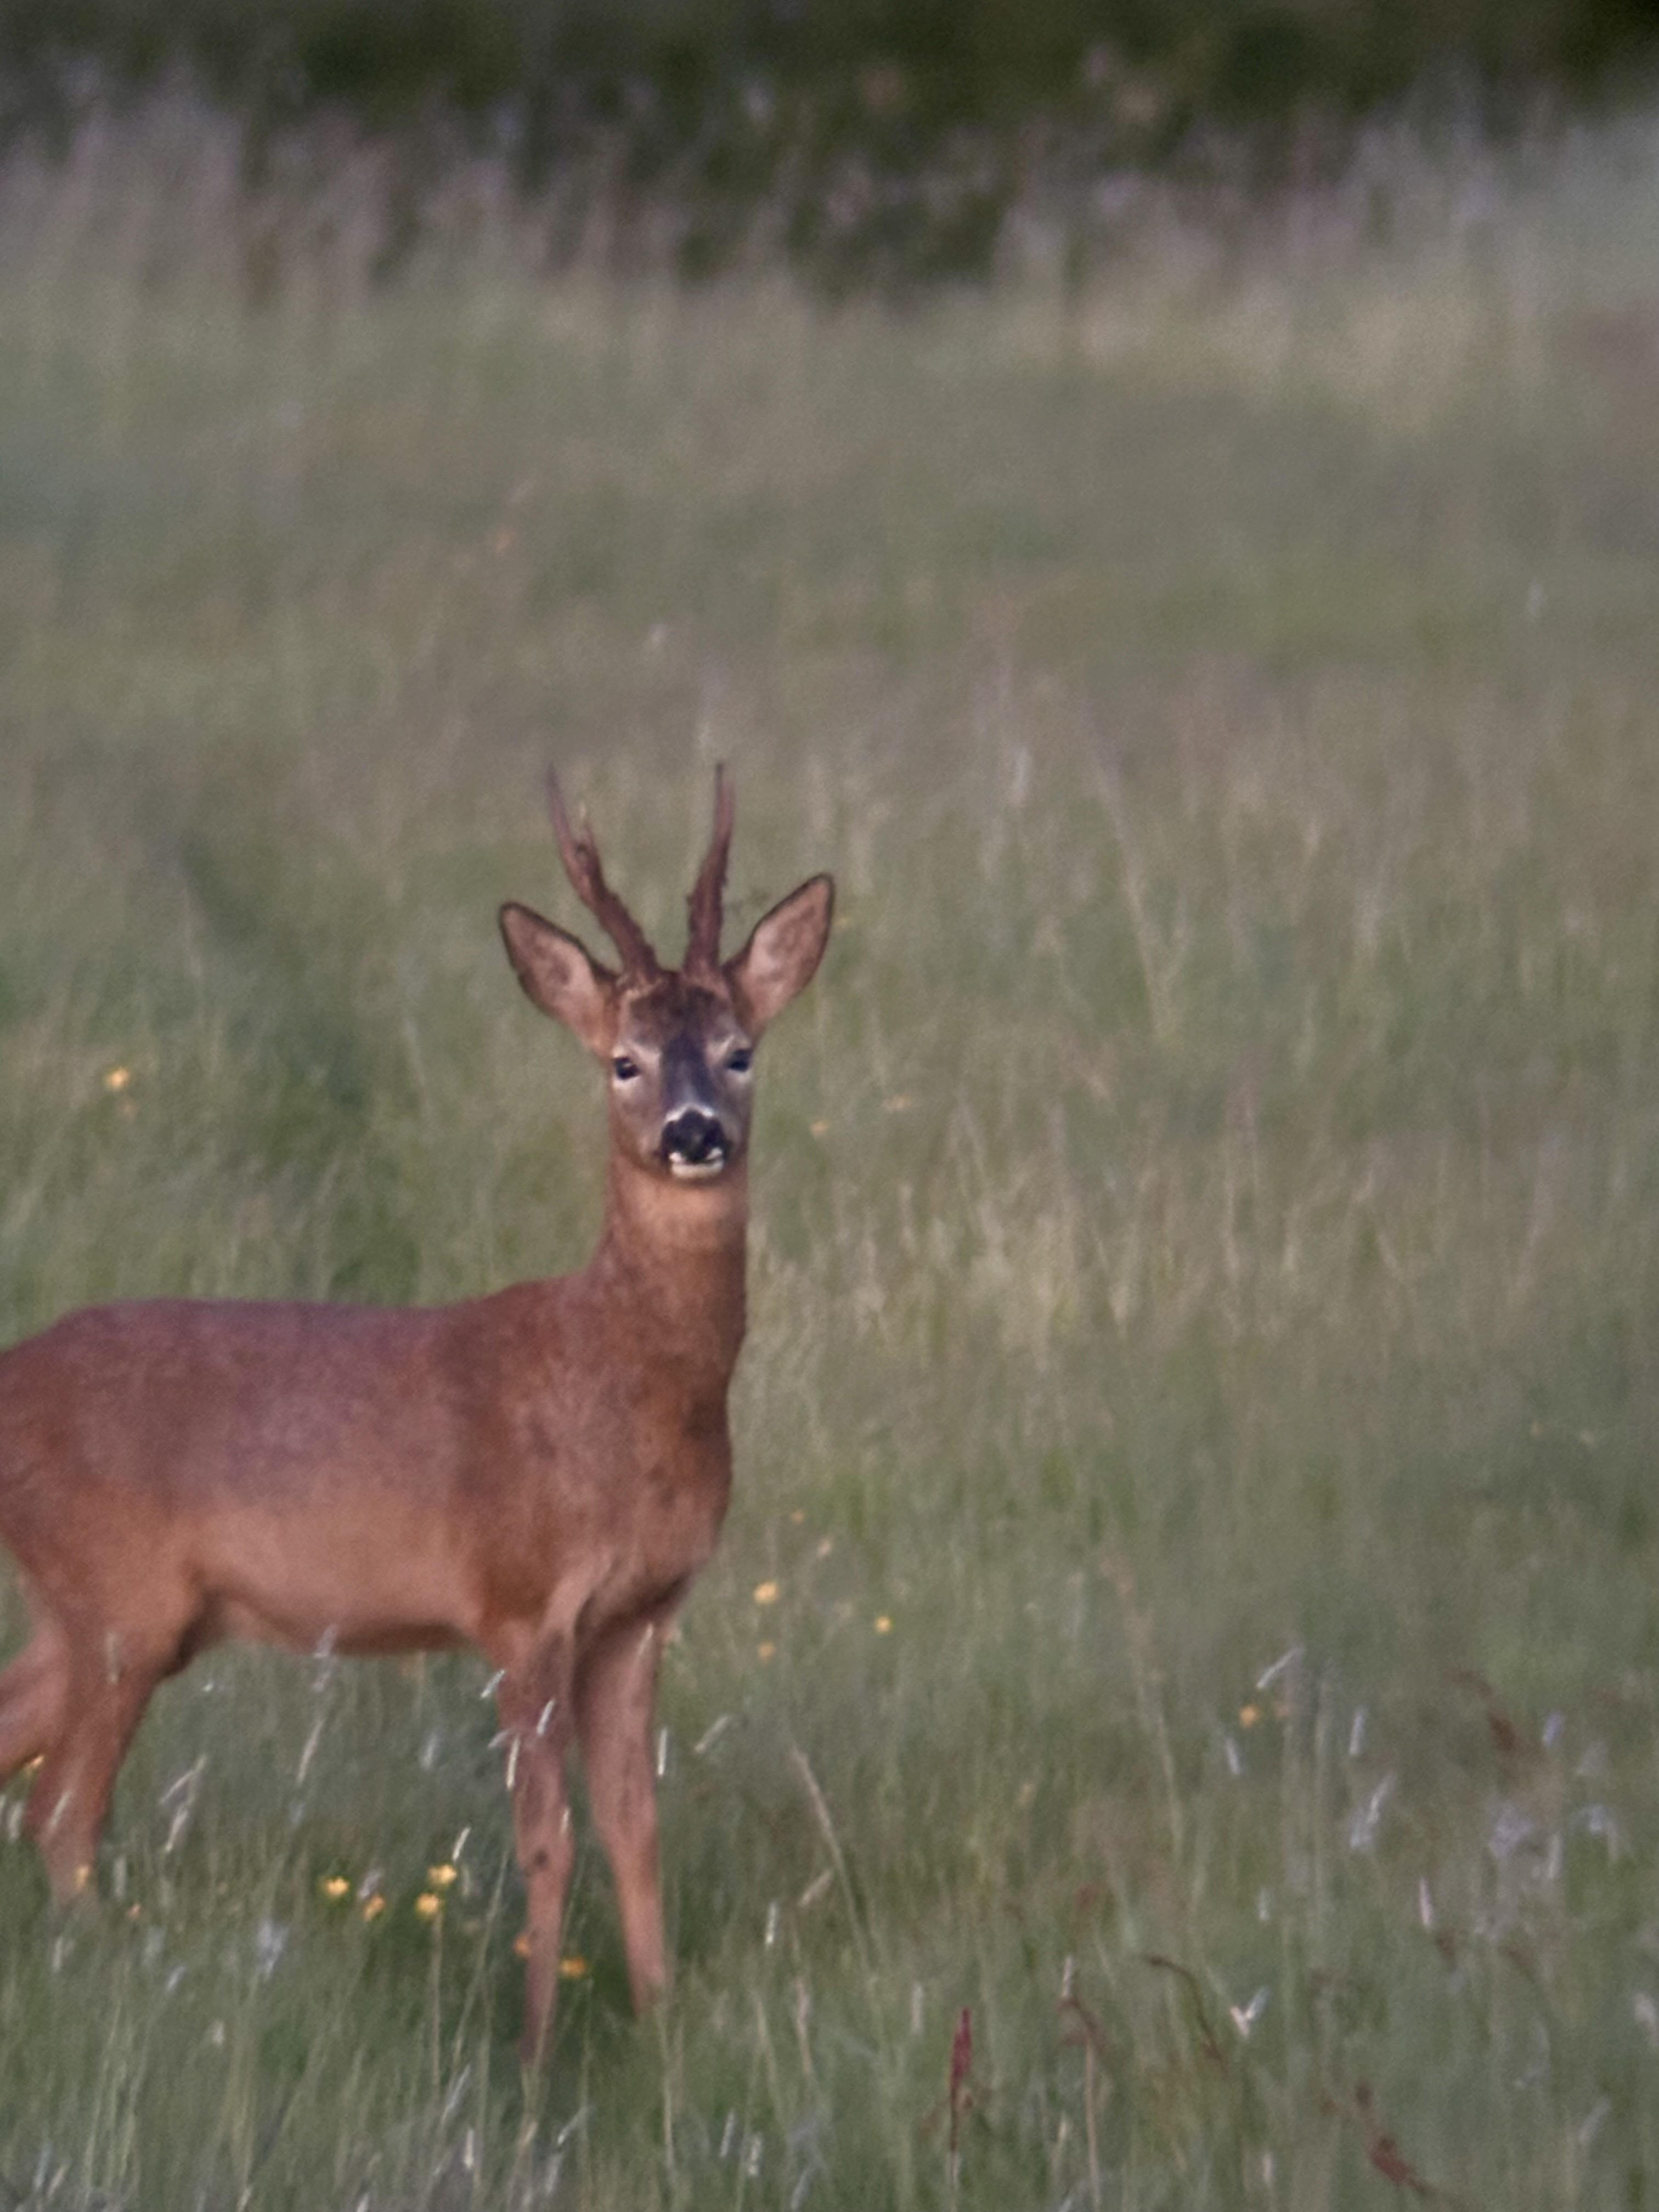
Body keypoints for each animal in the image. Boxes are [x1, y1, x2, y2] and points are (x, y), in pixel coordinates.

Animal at [0, 768, 833, 2062]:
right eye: (624, 1061)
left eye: (740, 1051)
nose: (694, 1132)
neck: (620, 1382)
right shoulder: (520, 1603)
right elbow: (545, 1842)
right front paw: (535, 2055)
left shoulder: (639, 1616)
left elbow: (636, 1830)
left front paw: (658, 2036)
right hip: (119, 1602)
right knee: (57, 1815)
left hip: (105, 1615)